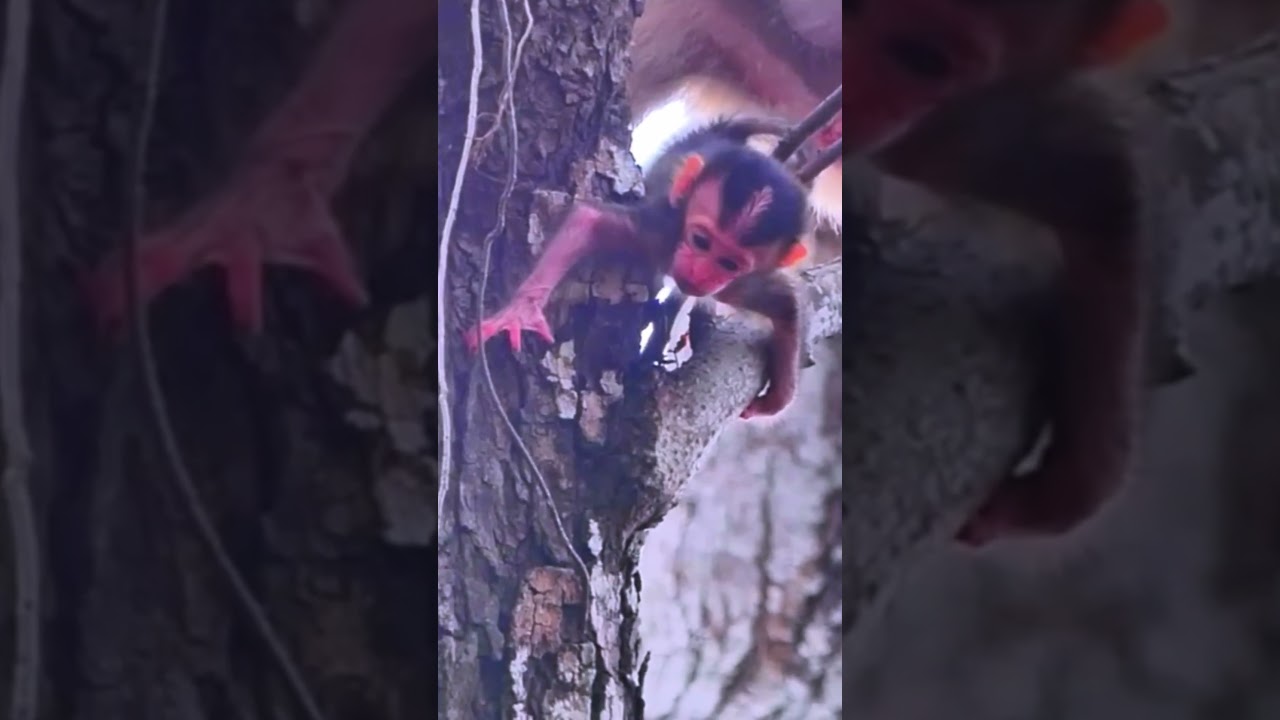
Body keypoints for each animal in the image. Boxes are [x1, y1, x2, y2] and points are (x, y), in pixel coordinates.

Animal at [465, 119, 815, 419]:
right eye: (701, 241)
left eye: (729, 263)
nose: (700, 272)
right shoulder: (660, 232)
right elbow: (591, 220)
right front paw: (520, 312)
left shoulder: (740, 283)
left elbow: (787, 303)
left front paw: (779, 397)